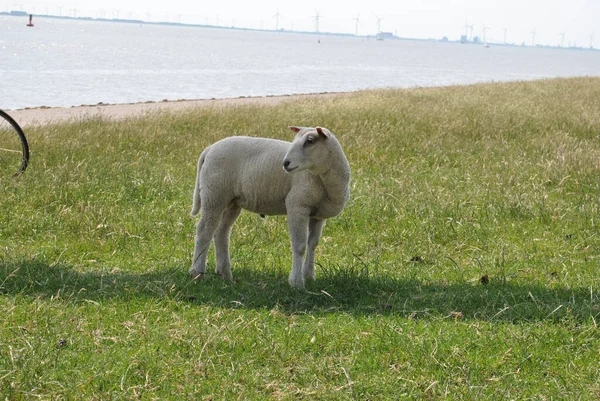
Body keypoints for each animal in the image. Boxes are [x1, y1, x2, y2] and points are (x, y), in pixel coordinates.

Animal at [191, 125, 352, 288]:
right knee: (204, 231)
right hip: (214, 196)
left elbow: (312, 244)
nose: (285, 163)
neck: (323, 179)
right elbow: (300, 246)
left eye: (310, 141)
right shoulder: (297, 205)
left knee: (221, 232)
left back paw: (225, 274)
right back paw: (197, 273)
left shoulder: (318, 215)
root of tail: (210, 149)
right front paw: (297, 282)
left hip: (232, 201)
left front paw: (309, 276)